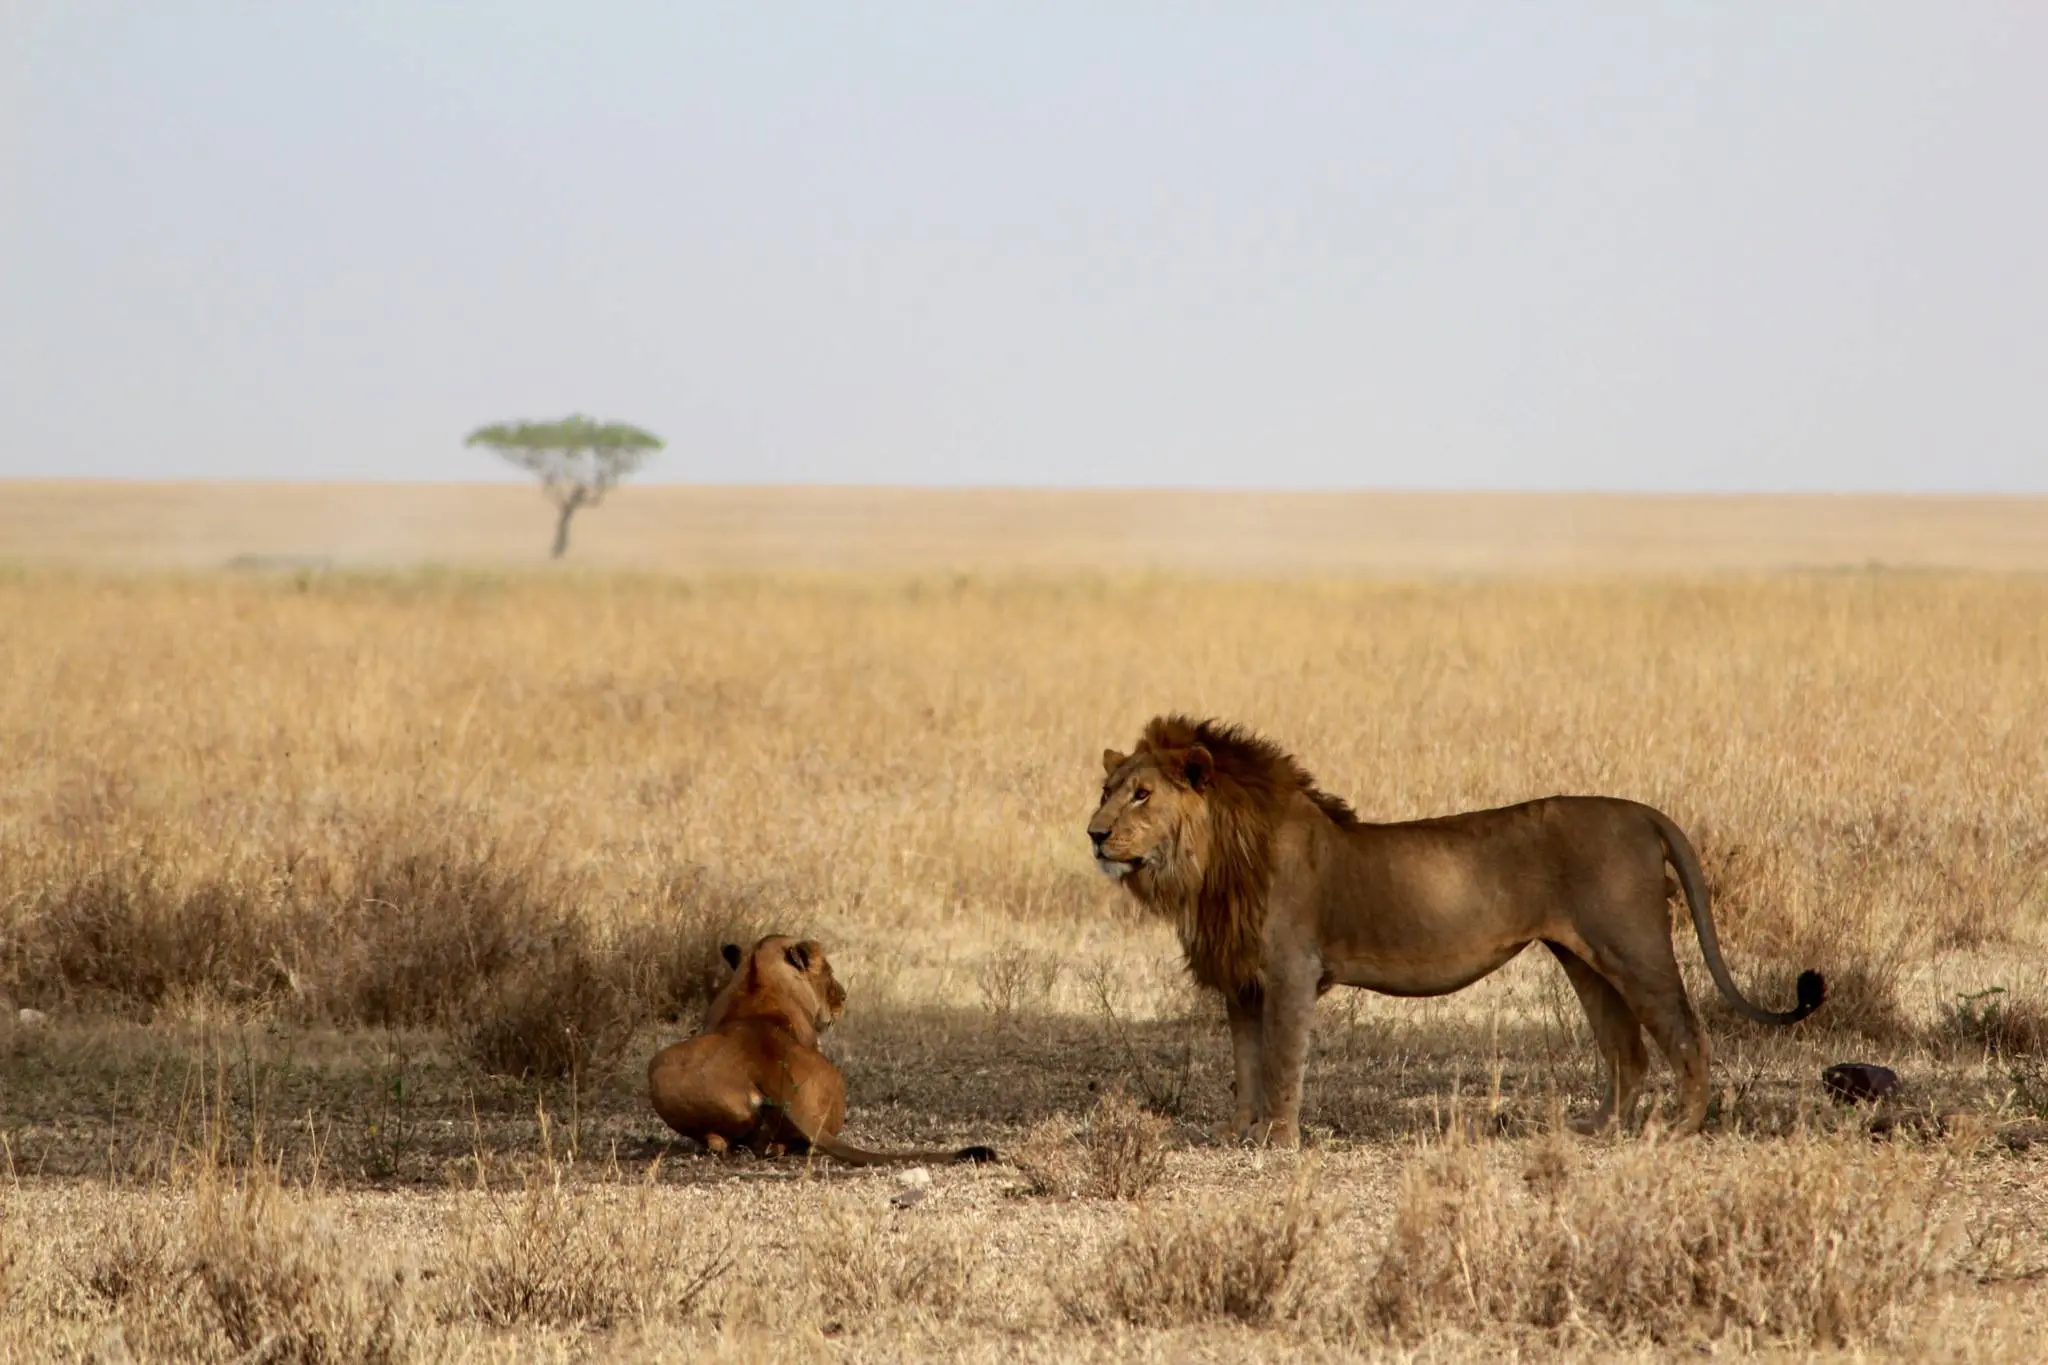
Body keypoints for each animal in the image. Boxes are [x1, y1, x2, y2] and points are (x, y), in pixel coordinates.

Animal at [1088, 715, 1824, 1146]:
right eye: (1106, 790)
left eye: (1142, 794)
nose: (1093, 834)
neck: (1212, 862)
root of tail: (1642, 812)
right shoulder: (1242, 981)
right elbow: (1245, 1062)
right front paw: (1237, 1131)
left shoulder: (1292, 971)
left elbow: (1281, 1061)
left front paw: (1280, 1138)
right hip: (1583, 958)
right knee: (1627, 1051)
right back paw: (1593, 1129)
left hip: (1634, 947)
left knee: (1687, 1034)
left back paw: (1679, 1129)